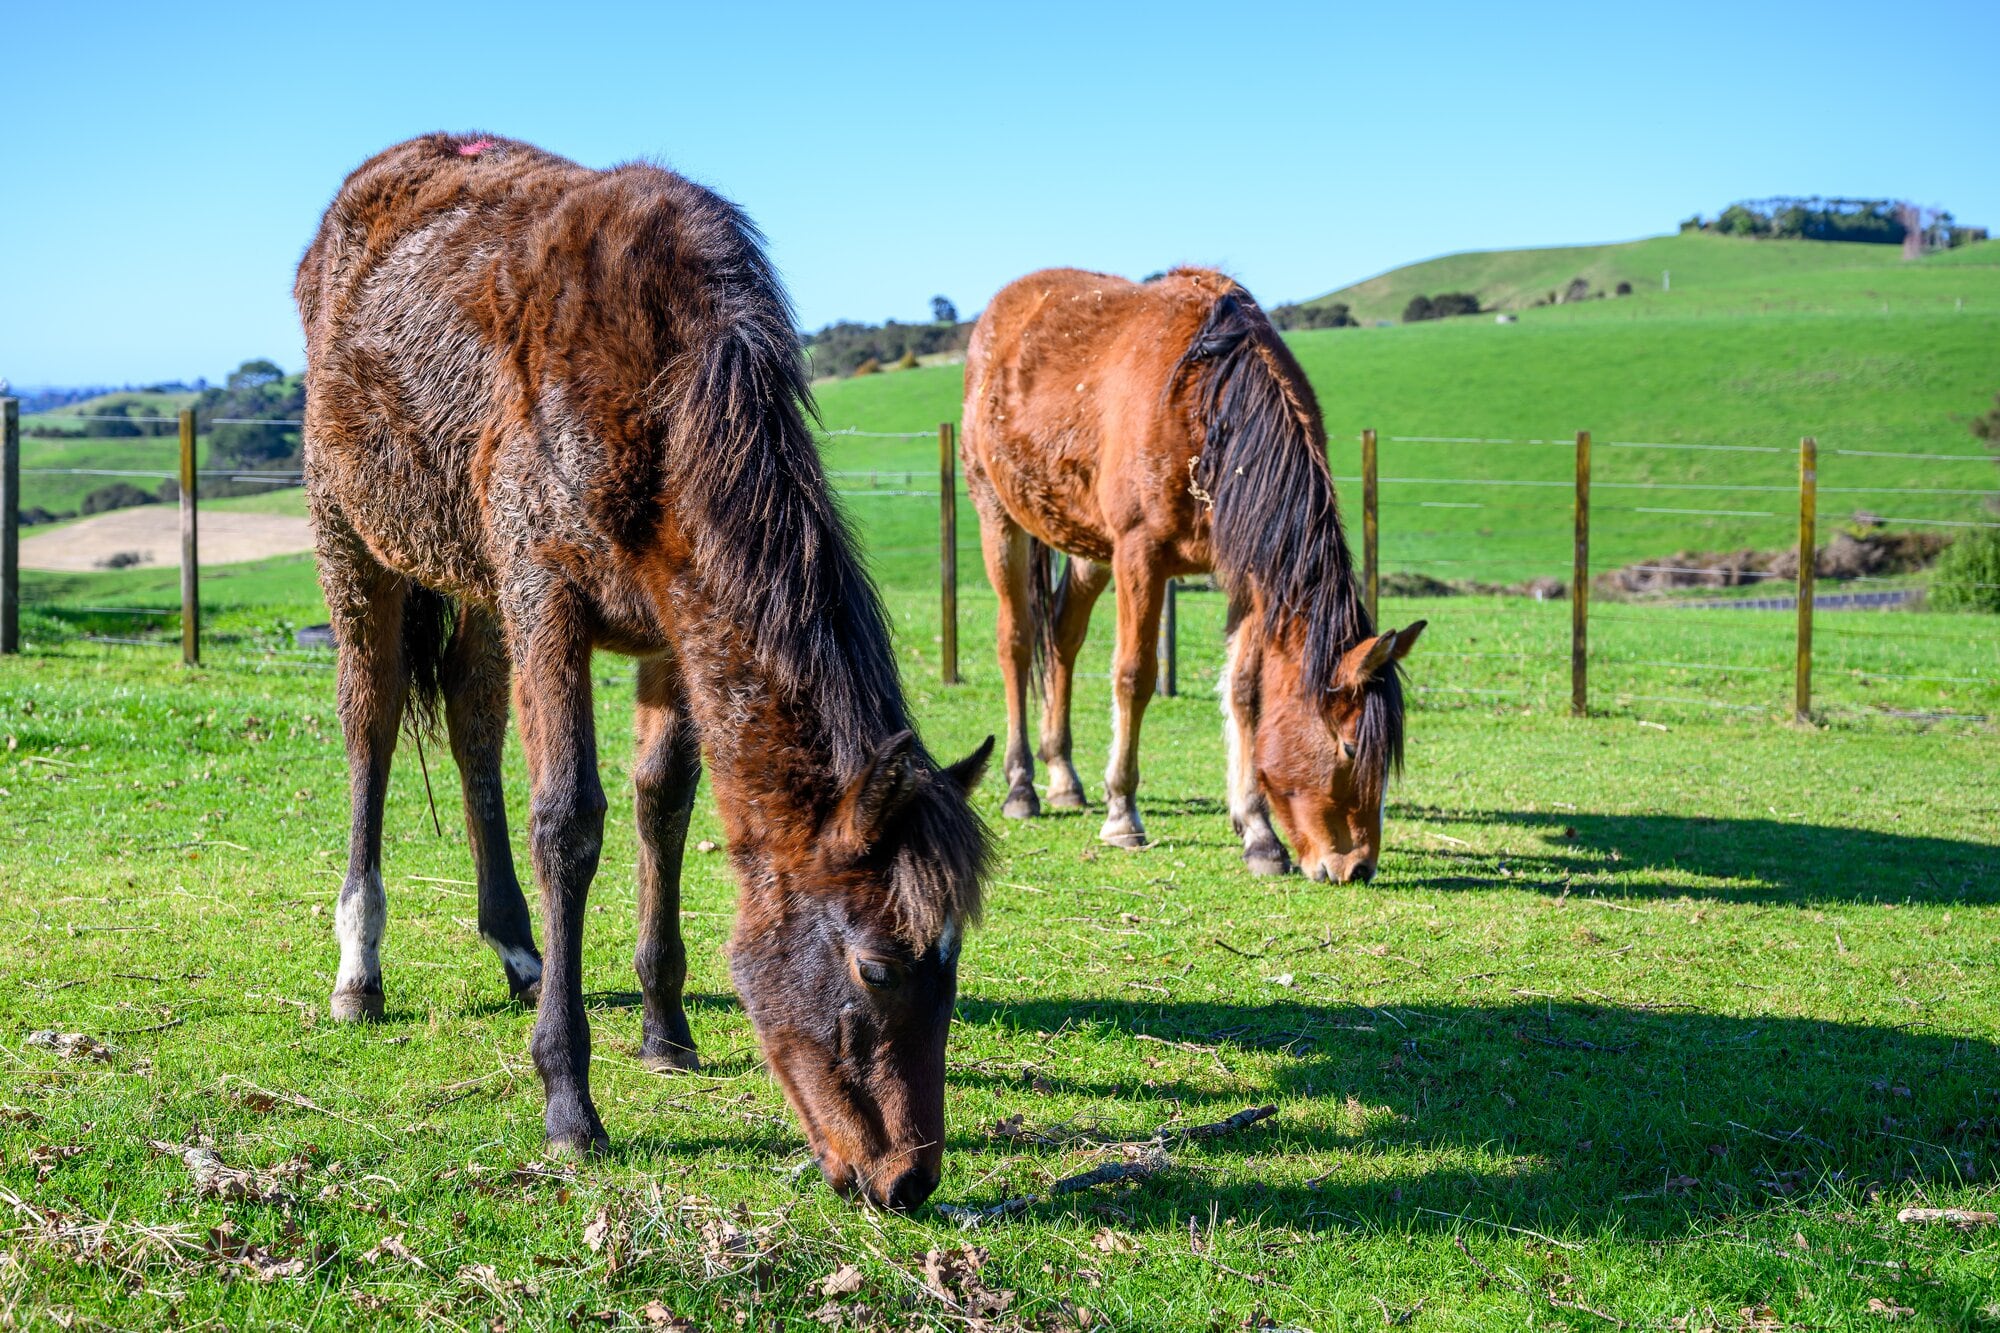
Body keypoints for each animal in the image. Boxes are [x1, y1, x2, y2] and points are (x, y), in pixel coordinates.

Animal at [295, 133, 991, 1211]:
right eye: (876, 967)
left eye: (955, 963)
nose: (905, 1177)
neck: (663, 400)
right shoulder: (544, 586)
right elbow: (569, 819)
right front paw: (570, 1102)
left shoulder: (670, 620)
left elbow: (663, 801)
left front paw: (666, 1030)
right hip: (354, 533)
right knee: (370, 720)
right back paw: (360, 970)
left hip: (473, 575)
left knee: (470, 718)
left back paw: (518, 949)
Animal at [960, 267, 1422, 883]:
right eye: (1350, 748)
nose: (1355, 867)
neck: (1211, 408)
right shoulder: (1140, 554)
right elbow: (1134, 677)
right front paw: (1122, 814)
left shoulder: (1247, 573)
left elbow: (1246, 691)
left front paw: (1257, 833)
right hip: (999, 515)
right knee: (1015, 641)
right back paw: (1022, 786)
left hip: (1088, 546)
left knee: (1061, 635)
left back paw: (1063, 776)